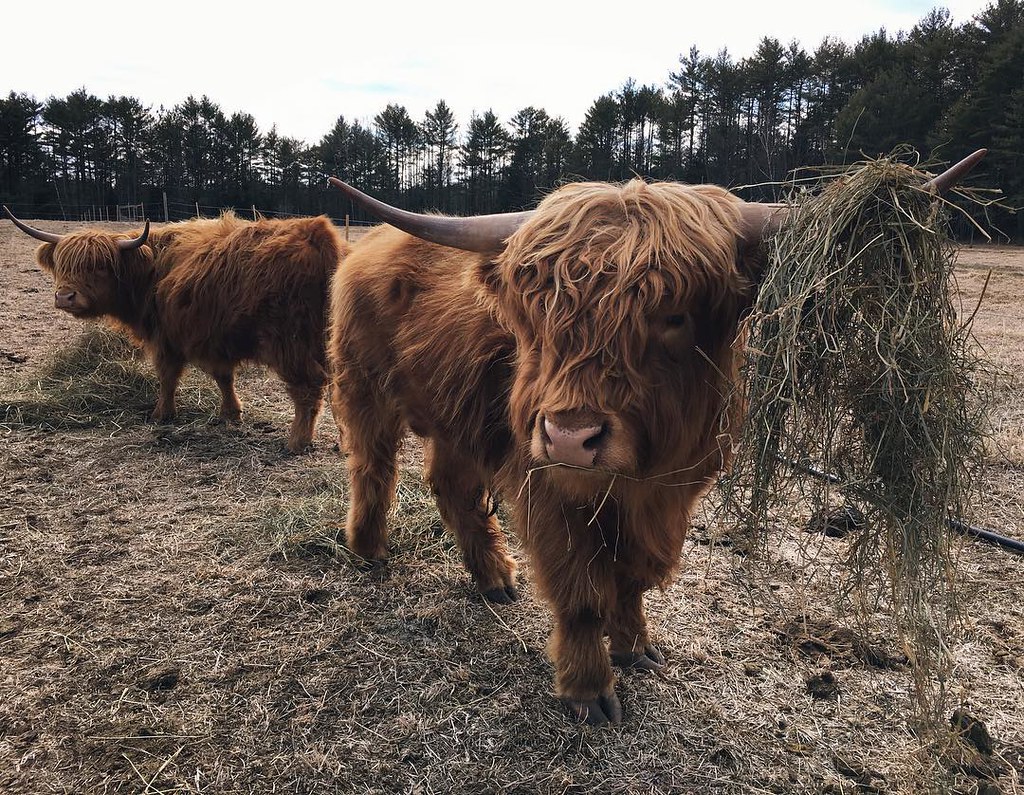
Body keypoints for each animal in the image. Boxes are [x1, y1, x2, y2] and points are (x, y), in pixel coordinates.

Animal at [3, 209, 349, 453]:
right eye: (62, 265)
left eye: (99, 266)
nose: (65, 297)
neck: (149, 270)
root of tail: (319, 236)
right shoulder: (214, 338)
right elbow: (224, 378)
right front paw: (231, 414)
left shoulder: (164, 337)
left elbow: (167, 377)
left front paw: (162, 414)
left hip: (289, 342)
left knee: (308, 386)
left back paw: (297, 442)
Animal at [326, 150, 985, 726]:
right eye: (536, 309)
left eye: (674, 315)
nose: (571, 437)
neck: (634, 477)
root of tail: (369, 247)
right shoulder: (547, 487)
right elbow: (580, 590)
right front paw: (588, 689)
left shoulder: (672, 491)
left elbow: (633, 576)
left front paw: (636, 647)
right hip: (364, 388)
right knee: (373, 466)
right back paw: (369, 549)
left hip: (457, 415)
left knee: (452, 487)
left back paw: (493, 577)